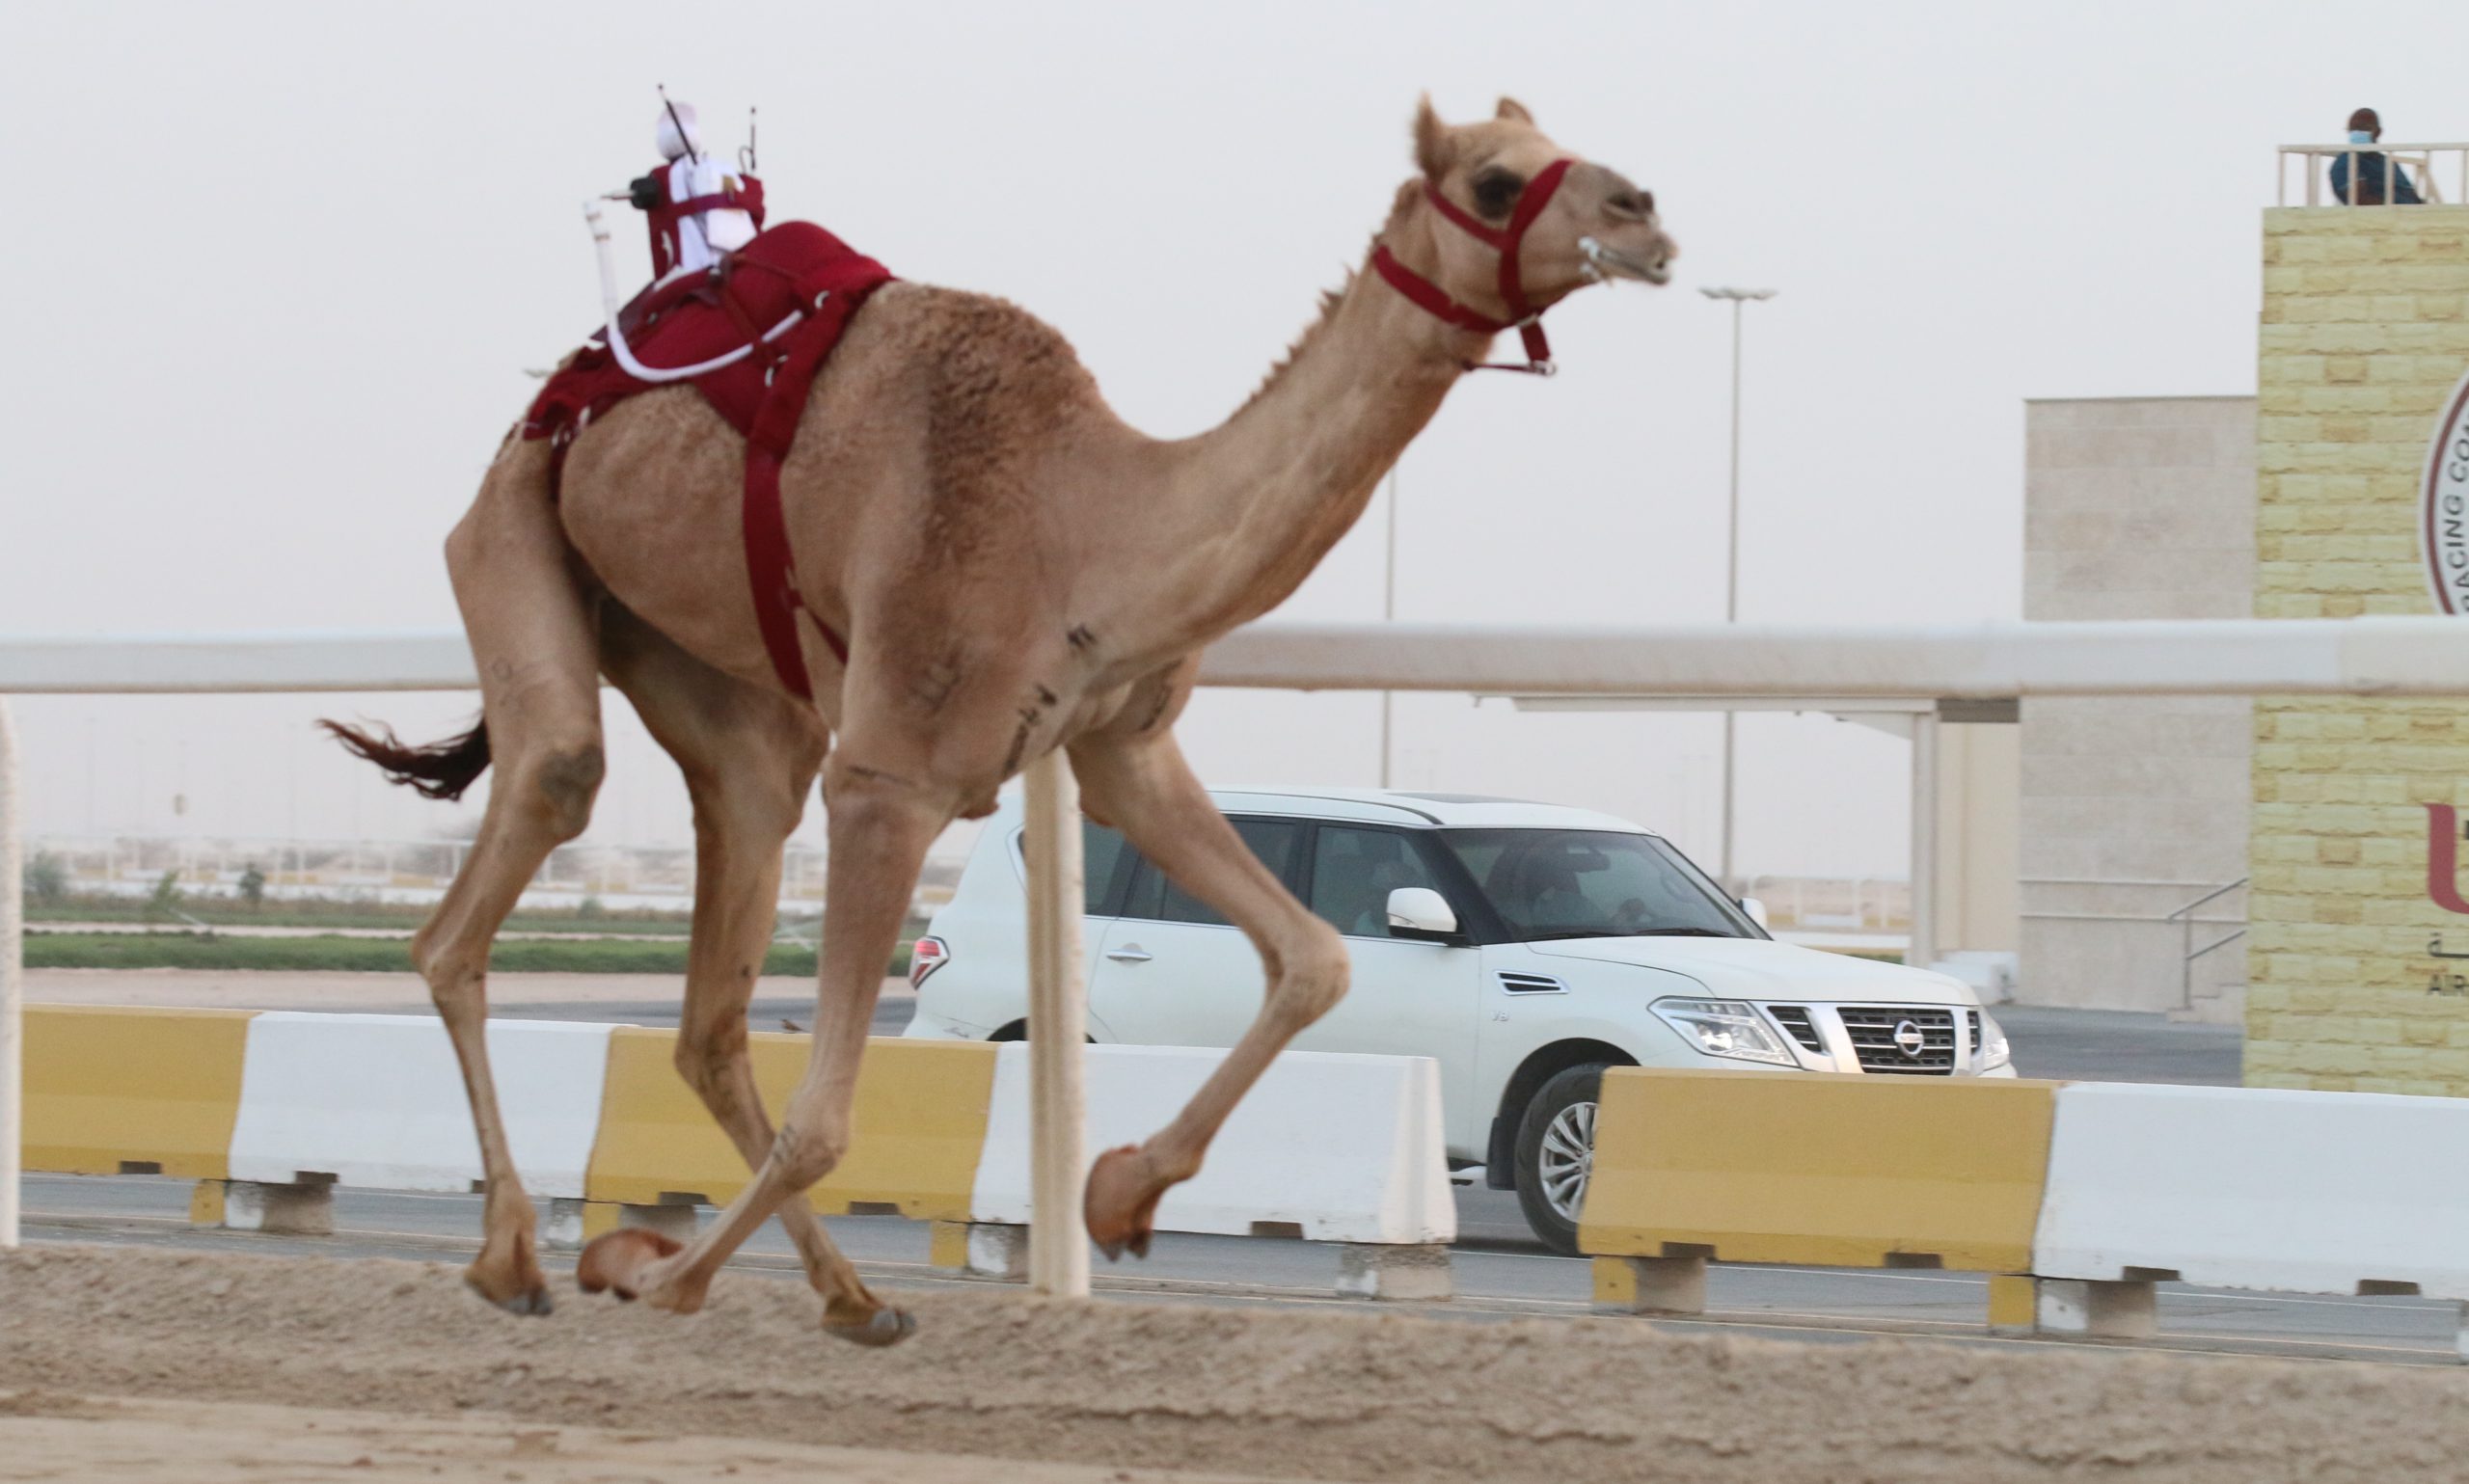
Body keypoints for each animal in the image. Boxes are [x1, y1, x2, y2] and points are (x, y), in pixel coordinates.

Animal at [328, 97, 1678, 1333]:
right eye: (1496, 180)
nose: (1644, 218)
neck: (1078, 518)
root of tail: (566, 392)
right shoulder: (890, 776)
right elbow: (827, 1120)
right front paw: (662, 1281)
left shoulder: (1120, 742)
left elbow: (1316, 957)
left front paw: (1122, 1192)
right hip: (510, 528)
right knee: (509, 849)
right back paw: (518, 1256)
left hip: (713, 682)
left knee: (712, 995)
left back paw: (846, 1294)